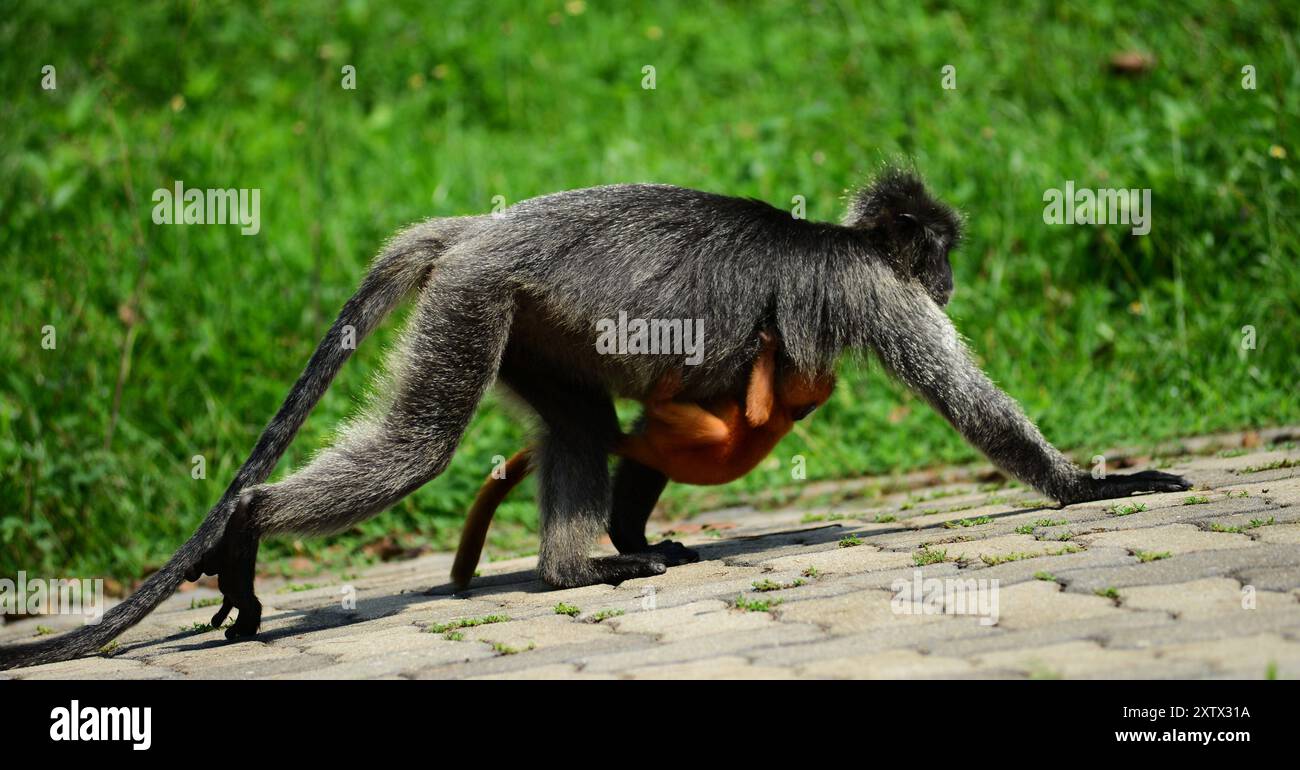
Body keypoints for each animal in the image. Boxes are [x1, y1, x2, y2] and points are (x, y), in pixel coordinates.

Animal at [452, 332, 837, 590]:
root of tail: (635, 443)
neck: (786, 415)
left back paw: (662, 392)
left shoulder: (768, 415)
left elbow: (755, 411)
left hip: (673, 437)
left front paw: (765, 346)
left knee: (699, 428)